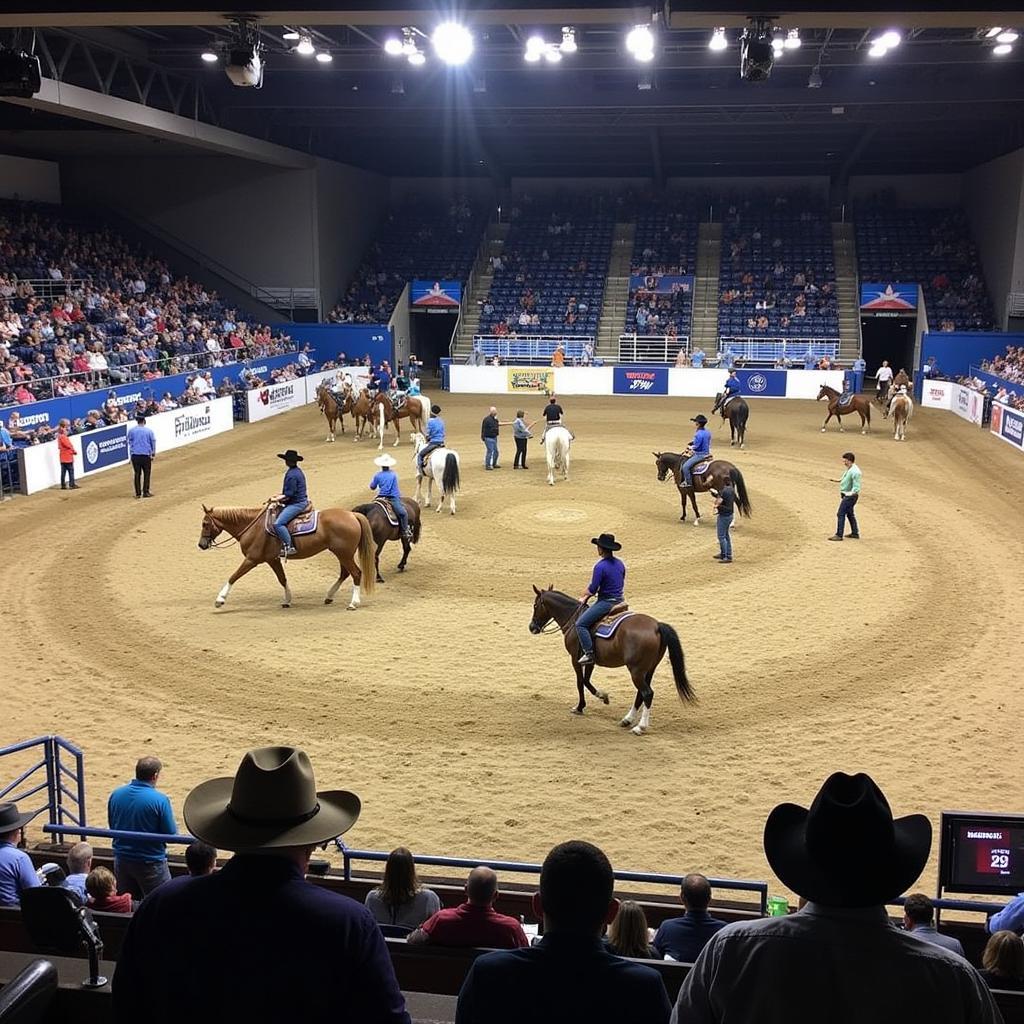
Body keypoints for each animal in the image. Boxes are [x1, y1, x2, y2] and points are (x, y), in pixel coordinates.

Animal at [195, 501, 376, 606]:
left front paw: (220, 599)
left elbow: (233, 576)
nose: (201, 545)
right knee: (345, 573)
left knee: (356, 573)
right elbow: (282, 579)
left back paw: (353, 603)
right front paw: (288, 600)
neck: (253, 526)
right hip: (341, 553)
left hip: (343, 553)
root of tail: (352, 514)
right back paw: (329, 596)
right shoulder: (272, 560)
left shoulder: (252, 560)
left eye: (205, 524)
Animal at [528, 585, 696, 737]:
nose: (532, 627)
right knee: (640, 694)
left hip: (636, 671)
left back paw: (640, 727)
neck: (573, 619)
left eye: (535, 605)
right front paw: (603, 696)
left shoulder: (575, 659)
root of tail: (656, 626)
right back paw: (627, 720)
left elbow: (580, 682)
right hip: (649, 670)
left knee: (647, 693)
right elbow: (587, 681)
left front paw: (580, 707)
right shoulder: (590, 660)